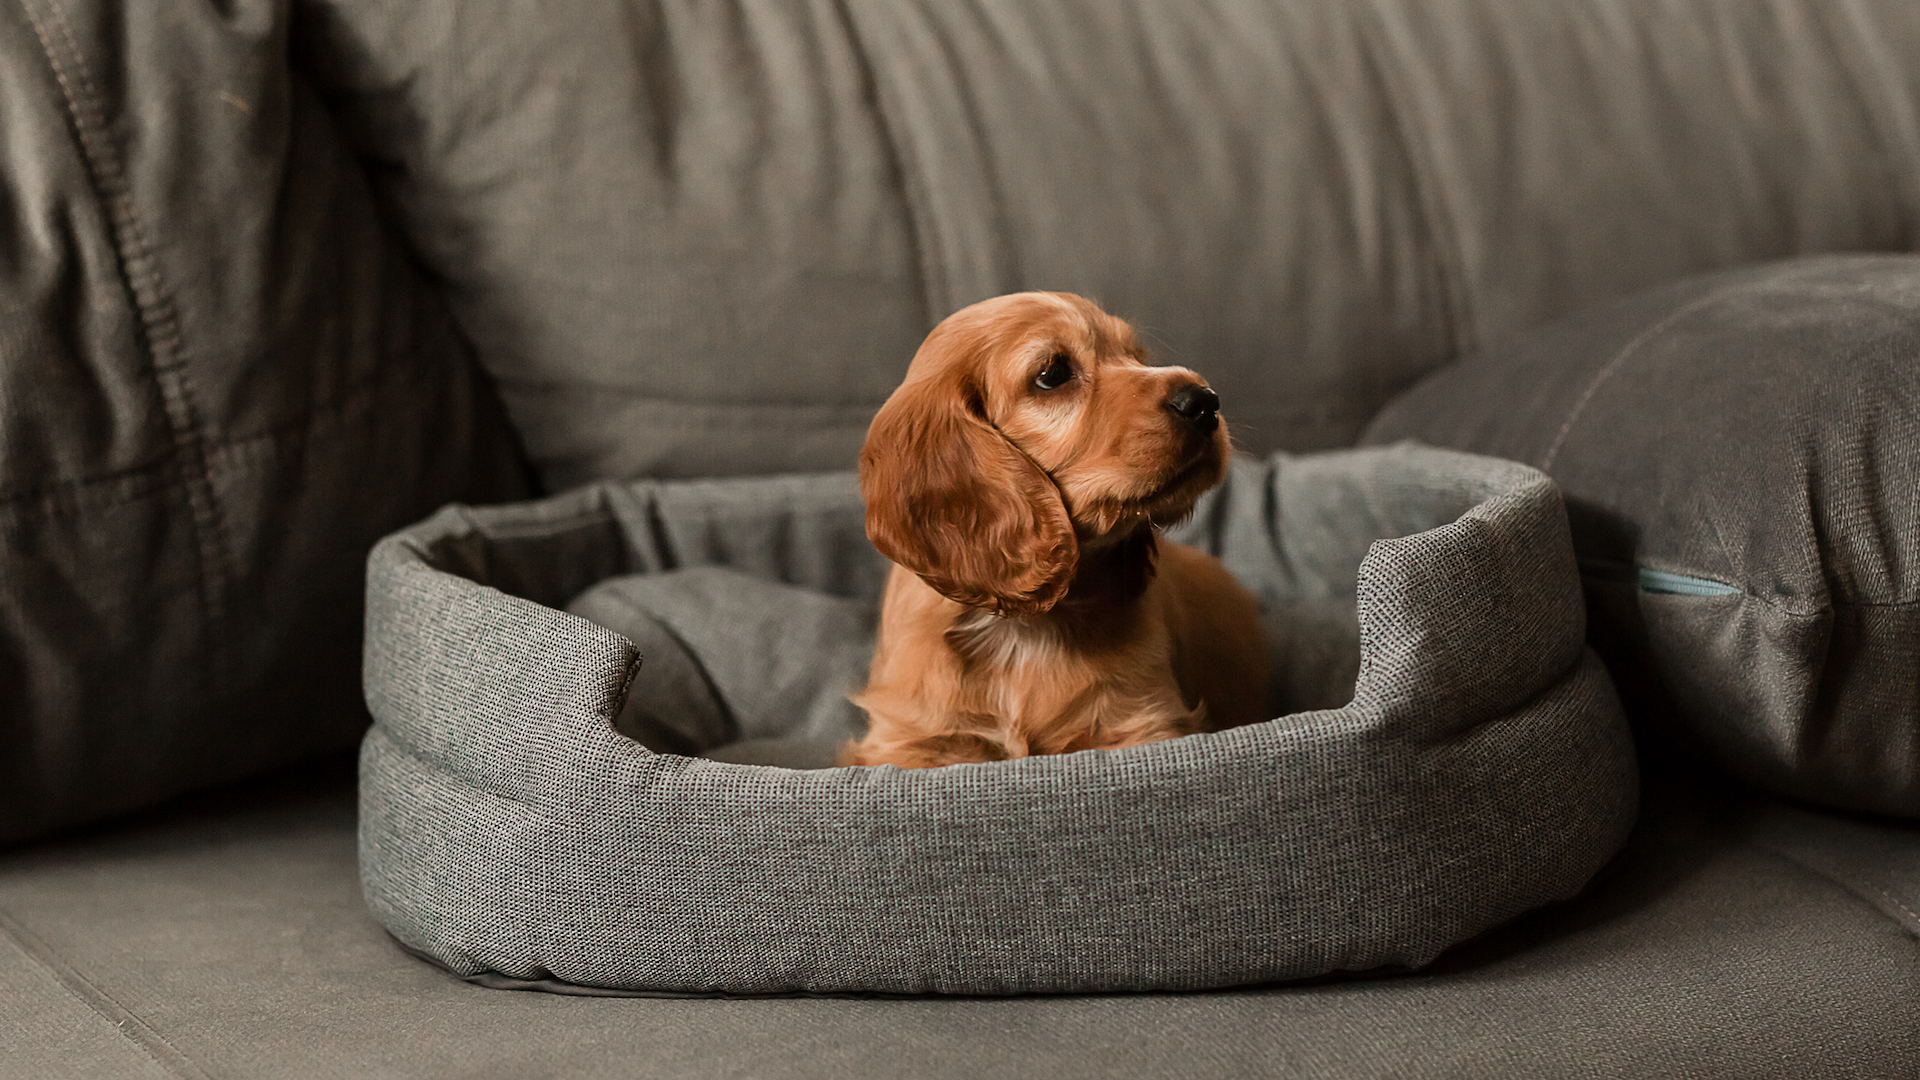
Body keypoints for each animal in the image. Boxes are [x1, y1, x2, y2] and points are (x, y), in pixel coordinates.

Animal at [844, 290, 1267, 768]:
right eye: (1053, 374)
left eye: (1137, 357)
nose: (1205, 401)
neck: (1024, 631)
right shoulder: (914, 742)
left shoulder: (1141, 722)